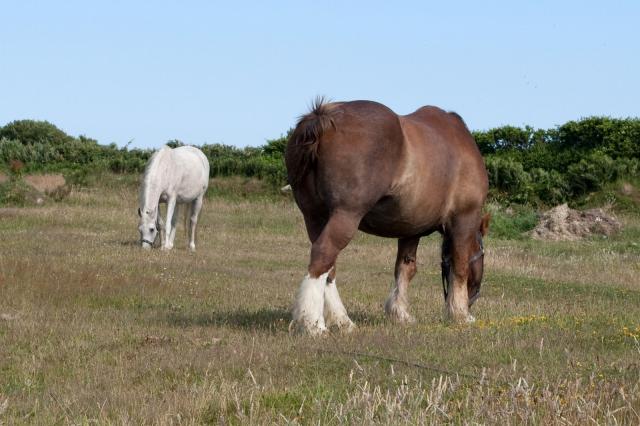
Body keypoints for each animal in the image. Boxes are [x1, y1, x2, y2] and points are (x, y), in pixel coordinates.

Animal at [284, 98, 490, 334]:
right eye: (482, 254)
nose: (472, 301)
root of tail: (322, 119)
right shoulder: (464, 219)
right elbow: (460, 265)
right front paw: (460, 314)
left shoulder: (411, 229)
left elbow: (405, 268)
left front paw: (400, 313)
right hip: (345, 215)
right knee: (322, 256)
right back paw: (314, 324)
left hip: (315, 217)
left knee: (329, 268)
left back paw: (343, 321)